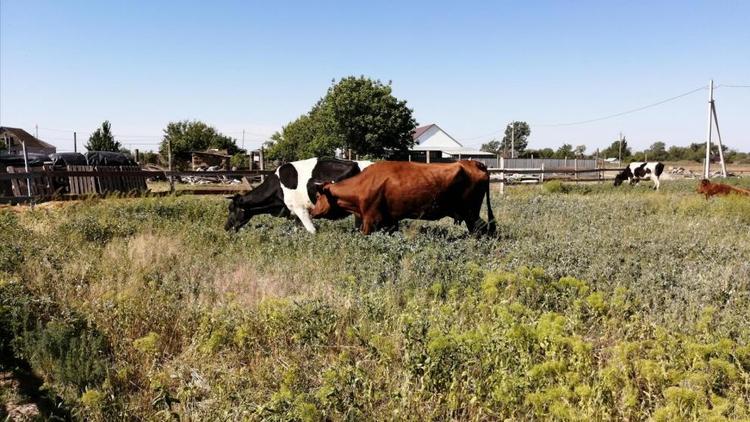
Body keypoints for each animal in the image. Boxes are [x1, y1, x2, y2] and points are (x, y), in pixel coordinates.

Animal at [308, 160, 496, 236]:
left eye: (317, 195)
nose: (312, 212)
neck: (364, 183)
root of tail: (474, 163)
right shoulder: (390, 220)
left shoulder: (370, 220)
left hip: (470, 212)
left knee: (479, 230)